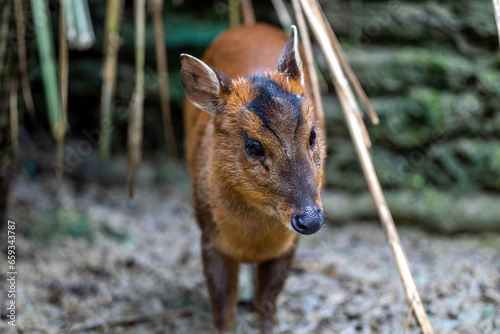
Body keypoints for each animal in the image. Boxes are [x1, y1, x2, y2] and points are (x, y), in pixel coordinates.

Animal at [182, 22, 326, 332]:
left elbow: (268, 306)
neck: (253, 243)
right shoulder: (209, 239)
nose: (310, 220)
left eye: (312, 135)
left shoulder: (287, 246)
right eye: (254, 146)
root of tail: (251, 25)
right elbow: (224, 313)